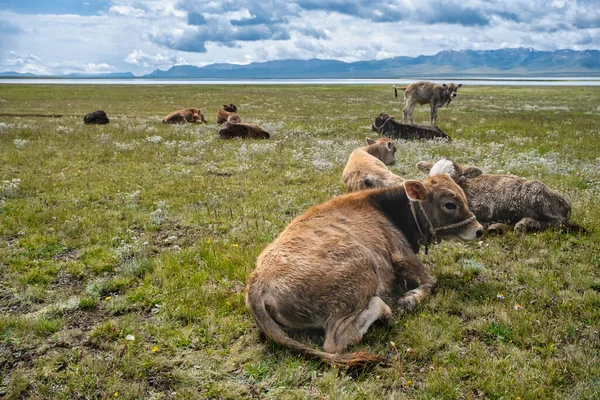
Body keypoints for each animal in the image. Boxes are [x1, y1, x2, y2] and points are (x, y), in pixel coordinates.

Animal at [244, 173, 482, 368]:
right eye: (450, 204)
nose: (479, 230)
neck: (388, 210)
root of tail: (257, 281)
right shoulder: (403, 255)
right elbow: (431, 281)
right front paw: (408, 300)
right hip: (363, 267)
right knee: (335, 342)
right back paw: (385, 310)